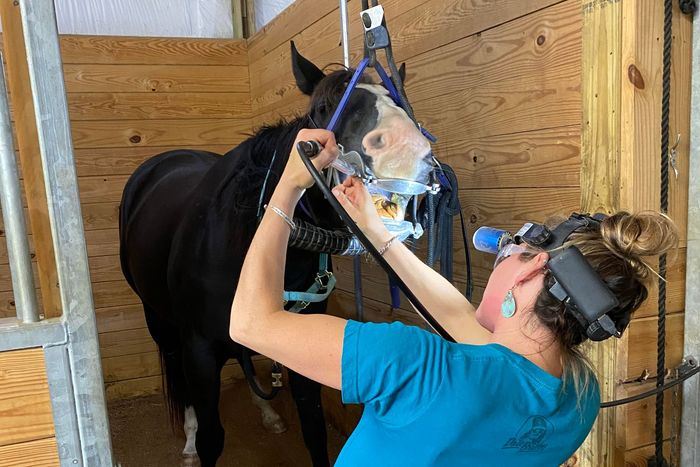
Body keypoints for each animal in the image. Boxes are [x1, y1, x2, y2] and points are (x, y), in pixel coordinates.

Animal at [117, 42, 430, 466]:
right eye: (323, 107)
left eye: (401, 102)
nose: (404, 148)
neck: (247, 238)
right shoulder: (199, 349)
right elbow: (212, 437)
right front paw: (198, 441)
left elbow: (313, 429)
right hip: (160, 321)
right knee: (178, 374)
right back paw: (188, 440)